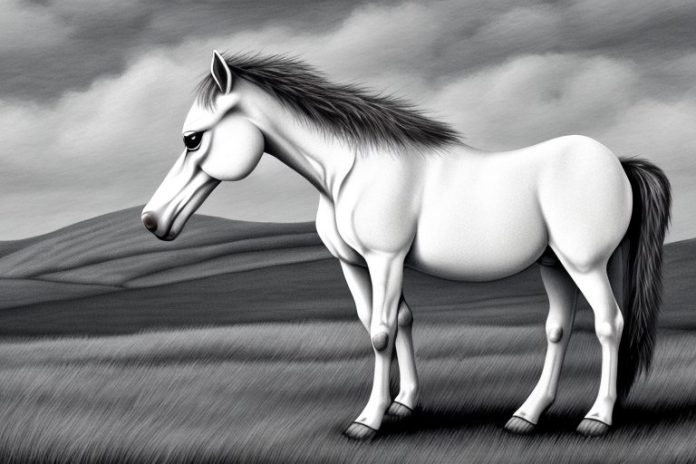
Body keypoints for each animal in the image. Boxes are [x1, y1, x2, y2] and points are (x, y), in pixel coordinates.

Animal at [142, 50, 671, 440]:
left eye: (192, 139)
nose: (152, 220)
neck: (351, 171)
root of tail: (619, 163)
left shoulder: (386, 260)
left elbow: (381, 332)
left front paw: (367, 421)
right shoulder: (354, 265)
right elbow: (395, 321)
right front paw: (403, 404)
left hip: (586, 263)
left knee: (609, 324)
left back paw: (597, 418)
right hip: (553, 265)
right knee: (558, 330)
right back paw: (526, 415)